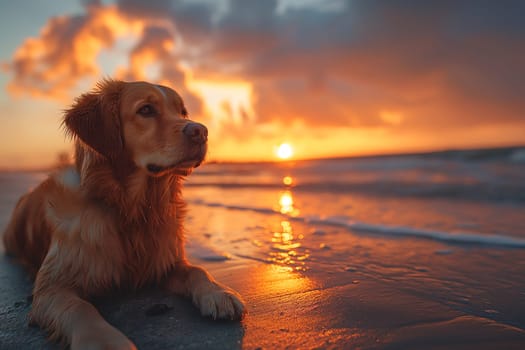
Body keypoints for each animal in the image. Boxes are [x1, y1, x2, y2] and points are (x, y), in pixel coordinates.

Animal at [3, 80, 245, 350]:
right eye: (146, 110)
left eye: (183, 112)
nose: (201, 131)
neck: (131, 210)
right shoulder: (52, 286)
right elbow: (80, 308)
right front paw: (105, 342)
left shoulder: (166, 261)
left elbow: (196, 270)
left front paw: (219, 293)